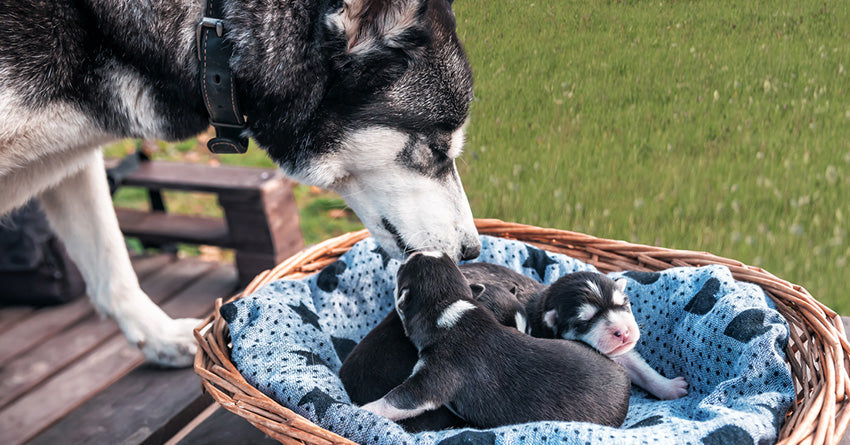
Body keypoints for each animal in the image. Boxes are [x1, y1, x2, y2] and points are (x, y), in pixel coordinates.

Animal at [0, 0, 476, 366]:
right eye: (437, 148)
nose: (472, 249)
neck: (211, 32)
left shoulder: (73, 162)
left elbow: (111, 264)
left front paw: (157, 339)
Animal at [358, 250, 628, 426]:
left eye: (402, 270)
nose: (413, 251)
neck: (451, 307)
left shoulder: (432, 378)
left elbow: (396, 400)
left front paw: (363, 409)